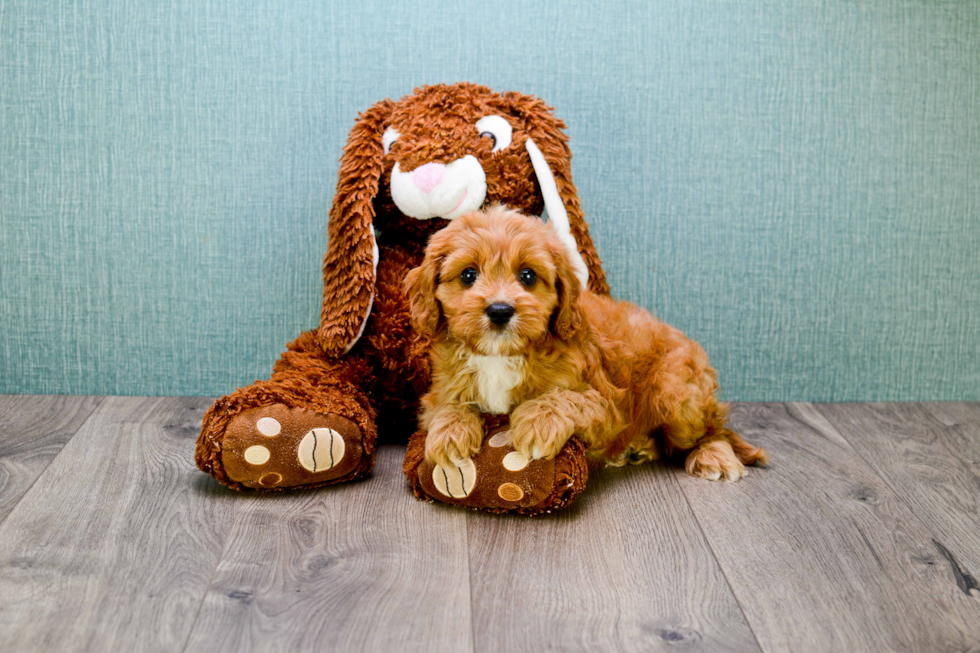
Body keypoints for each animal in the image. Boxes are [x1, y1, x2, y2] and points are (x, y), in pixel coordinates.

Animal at [402, 206, 768, 482]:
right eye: (468, 275)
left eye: (528, 276)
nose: (500, 310)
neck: (500, 354)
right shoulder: (438, 390)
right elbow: (448, 405)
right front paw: (450, 434)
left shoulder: (602, 401)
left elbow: (562, 398)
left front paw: (537, 422)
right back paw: (638, 447)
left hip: (675, 393)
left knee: (711, 430)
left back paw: (713, 456)